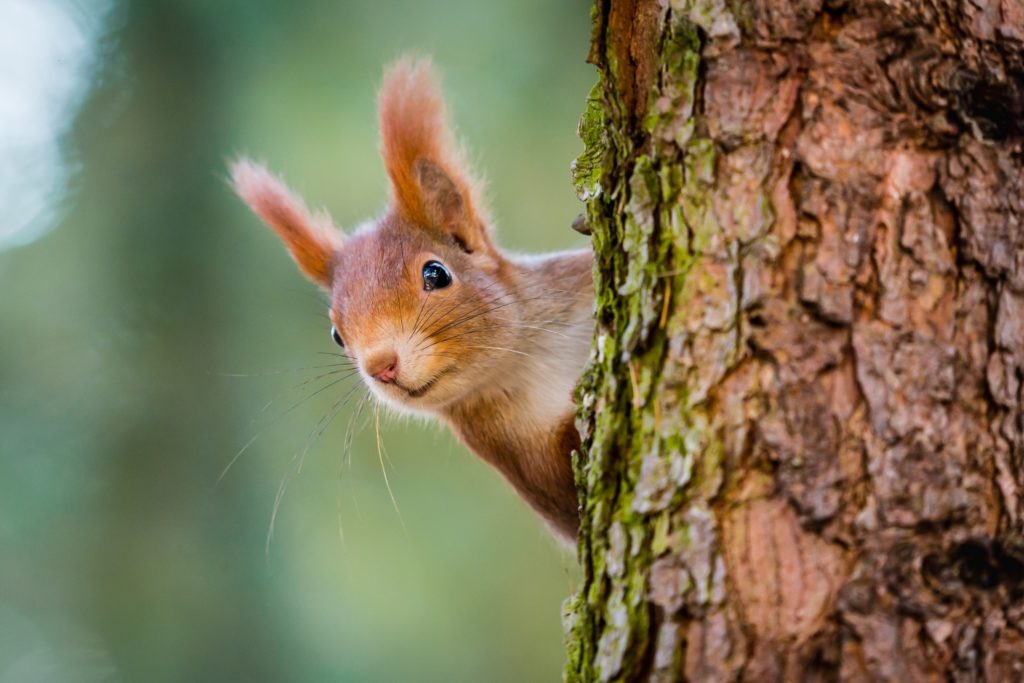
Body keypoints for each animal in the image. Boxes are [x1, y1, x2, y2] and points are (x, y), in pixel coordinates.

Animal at [230, 57, 593, 540]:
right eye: (336, 335)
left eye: (436, 274)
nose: (380, 366)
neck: (528, 360)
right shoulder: (523, 461)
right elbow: (569, 495)